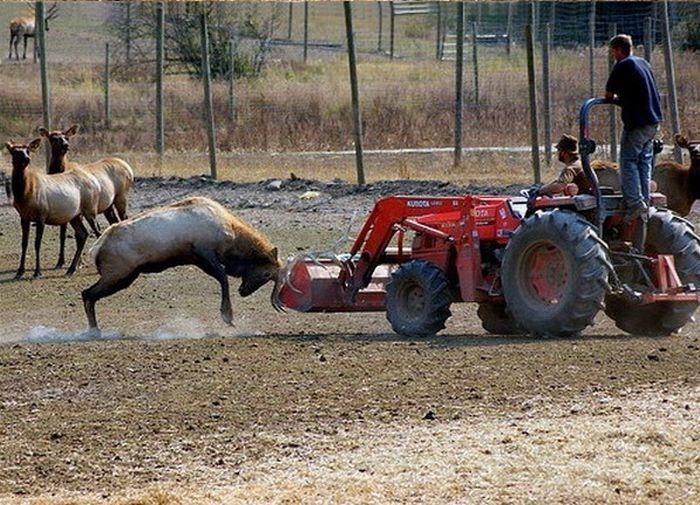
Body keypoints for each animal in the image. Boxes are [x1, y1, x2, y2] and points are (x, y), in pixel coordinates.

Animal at [39, 123, 135, 268]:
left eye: (66, 137)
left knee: (124, 218)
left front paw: (78, 263)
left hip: (121, 197)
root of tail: (130, 169)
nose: (66, 145)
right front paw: (60, 261)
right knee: (114, 221)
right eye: (53, 138)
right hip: (108, 205)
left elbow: (78, 234)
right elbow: (62, 234)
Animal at [80, 197, 282, 330]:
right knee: (87, 293)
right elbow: (223, 278)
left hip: (125, 276)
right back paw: (94, 329)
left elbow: (222, 278)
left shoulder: (198, 259)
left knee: (88, 294)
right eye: (266, 274)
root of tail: (96, 249)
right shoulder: (204, 252)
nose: (243, 291)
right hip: (118, 275)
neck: (233, 236)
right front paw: (227, 315)